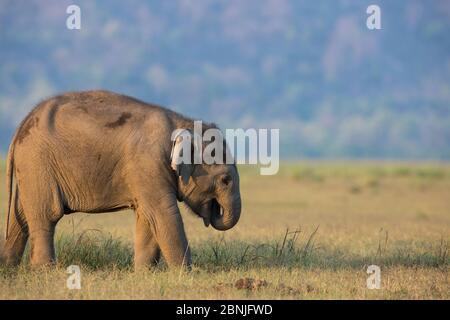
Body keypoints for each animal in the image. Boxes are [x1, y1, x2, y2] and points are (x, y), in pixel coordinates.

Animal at [0, 90, 243, 270]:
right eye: (225, 180)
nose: (214, 212)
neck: (183, 123)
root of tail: (20, 128)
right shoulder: (148, 164)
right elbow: (163, 213)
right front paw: (185, 274)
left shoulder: (147, 174)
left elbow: (147, 217)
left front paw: (144, 273)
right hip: (37, 163)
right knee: (46, 215)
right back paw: (44, 271)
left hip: (30, 169)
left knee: (20, 218)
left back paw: (8, 269)